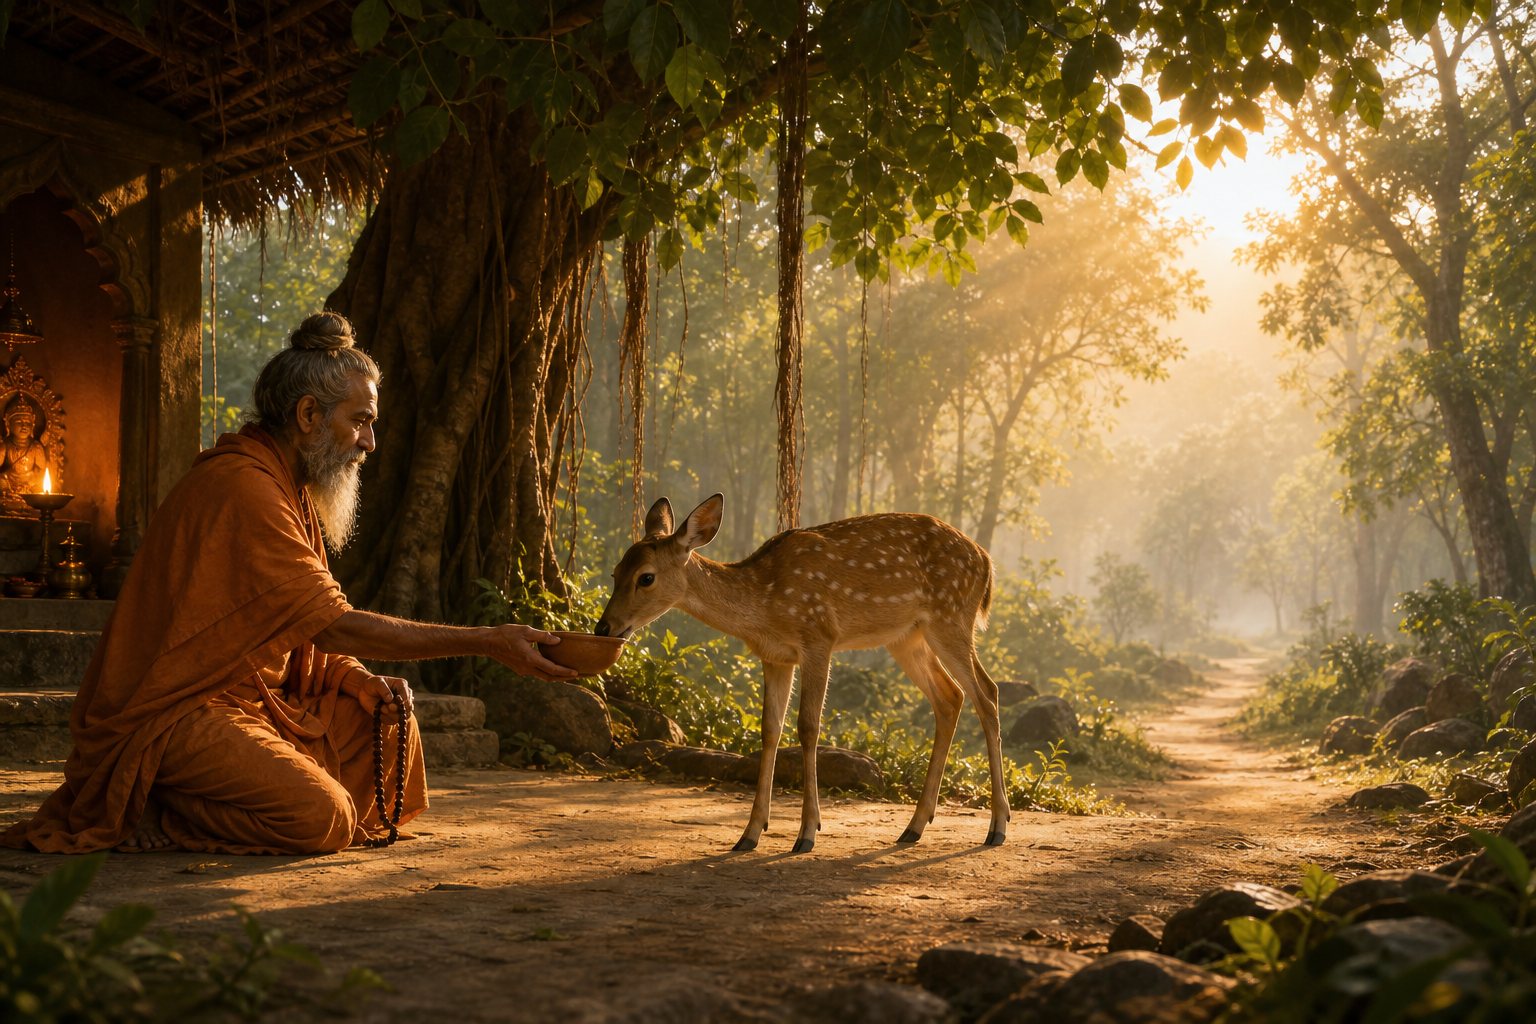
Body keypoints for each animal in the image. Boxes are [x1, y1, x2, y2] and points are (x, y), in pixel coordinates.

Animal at [594, 493, 1010, 854]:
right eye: (615, 572)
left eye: (646, 577)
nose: (603, 627)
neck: (764, 605)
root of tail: (988, 562)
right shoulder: (776, 658)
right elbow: (769, 730)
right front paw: (749, 834)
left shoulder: (818, 636)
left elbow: (808, 727)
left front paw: (807, 833)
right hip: (908, 637)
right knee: (951, 697)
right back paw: (914, 827)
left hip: (950, 617)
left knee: (986, 693)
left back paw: (997, 827)